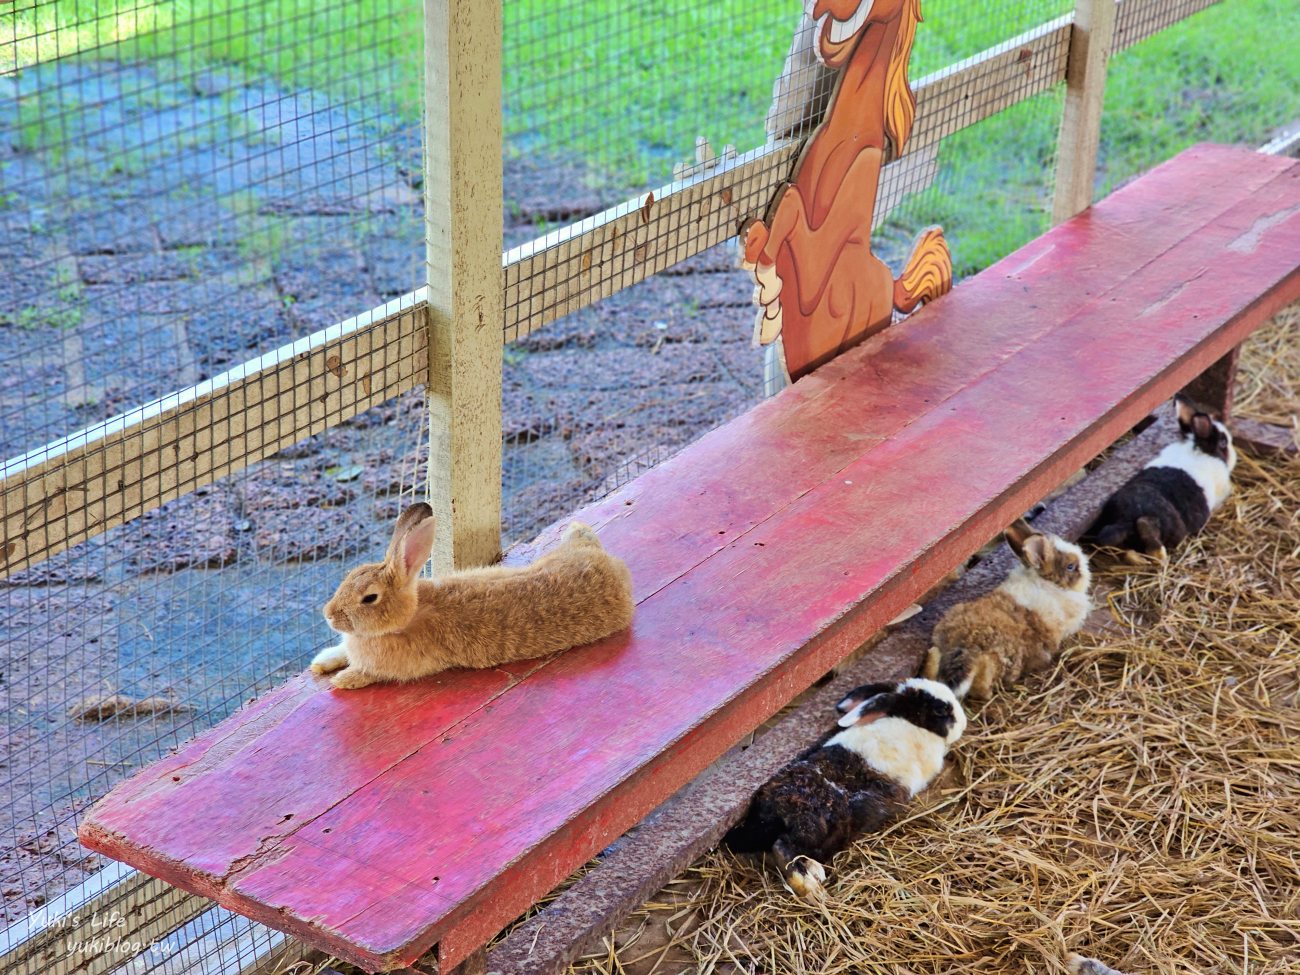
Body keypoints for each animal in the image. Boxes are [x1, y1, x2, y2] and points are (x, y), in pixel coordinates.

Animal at [314, 506, 639, 691]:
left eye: (369, 598)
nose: (328, 614)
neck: (405, 618)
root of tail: (609, 564)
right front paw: (321, 663)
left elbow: (368, 673)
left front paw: (343, 681)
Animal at [722, 681, 967, 899]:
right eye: (941, 709)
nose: (964, 722)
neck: (911, 722)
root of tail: (772, 814)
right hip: (816, 826)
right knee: (783, 849)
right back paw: (813, 888)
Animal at [920, 520, 1092, 702]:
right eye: (1071, 566)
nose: (1087, 571)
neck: (1049, 583)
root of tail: (966, 645)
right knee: (982, 685)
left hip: (939, 647)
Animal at [1086, 392, 1237, 561]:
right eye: (1223, 442)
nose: (1234, 456)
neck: (1198, 449)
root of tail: (1127, 518)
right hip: (1171, 525)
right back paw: (1159, 553)